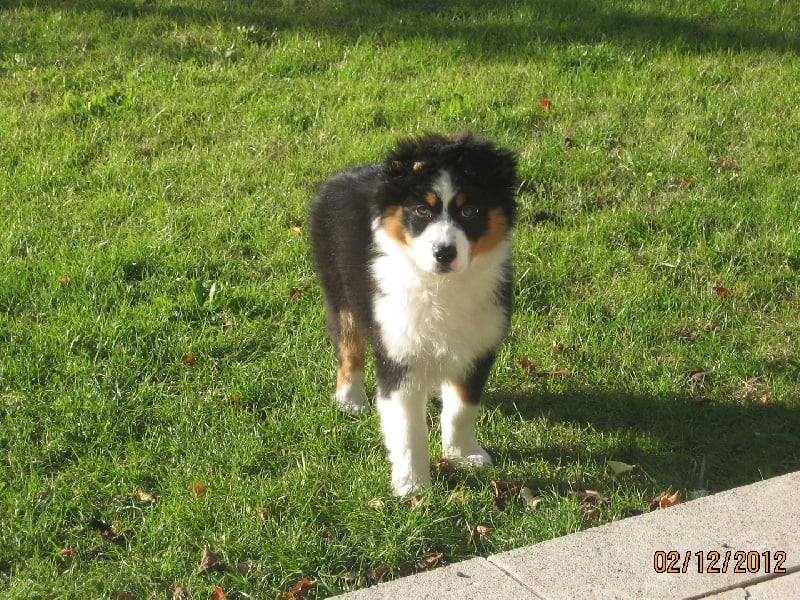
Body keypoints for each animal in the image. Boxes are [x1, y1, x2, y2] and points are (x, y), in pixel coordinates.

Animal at [306, 134, 520, 494]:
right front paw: (413, 487)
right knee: (348, 348)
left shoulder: (478, 347)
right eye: (422, 210)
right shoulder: (398, 354)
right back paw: (350, 400)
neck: (441, 286)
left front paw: (463, 456)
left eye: (470, 210)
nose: (444, 253)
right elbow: (408, 428)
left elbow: (462, 408)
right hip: (338, 292)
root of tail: (342, 176)